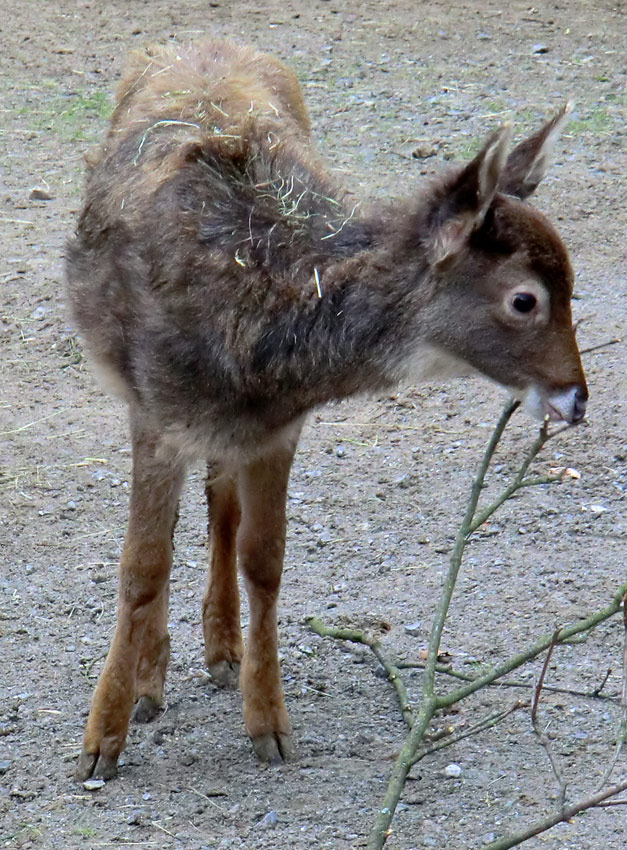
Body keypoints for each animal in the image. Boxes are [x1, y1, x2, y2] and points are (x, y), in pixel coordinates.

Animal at [66, 41, 588, 780]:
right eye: (525, 299)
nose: (577, 397)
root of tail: (206, 38)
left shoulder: (280, 427)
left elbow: (265, 559)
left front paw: (270, 724)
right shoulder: (155, 410)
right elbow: (141, 564)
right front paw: (101, 741)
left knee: (220, 504)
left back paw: (219, 651)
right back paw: (150, 683)